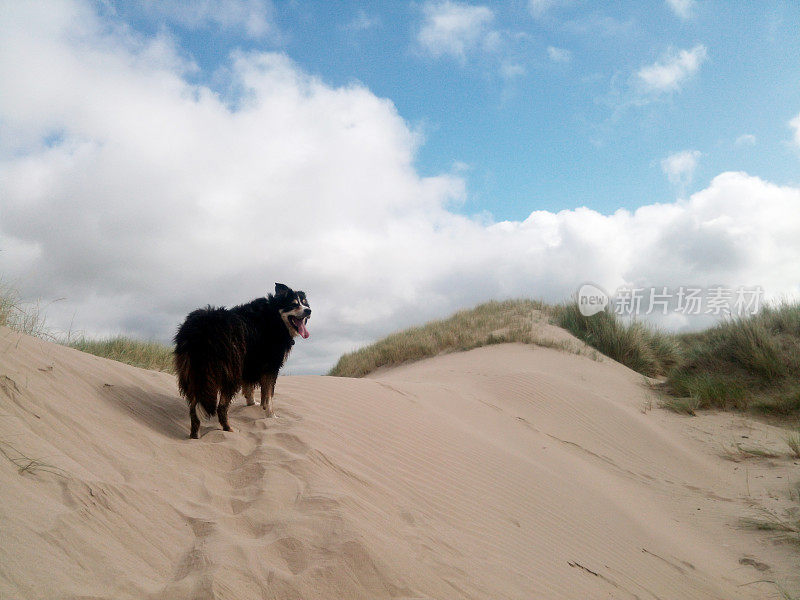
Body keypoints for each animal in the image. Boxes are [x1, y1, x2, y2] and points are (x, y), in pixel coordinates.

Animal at [173, 284, 310, 438]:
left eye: (305, 303)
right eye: (293, 304)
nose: (309, 311)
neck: (275, 316)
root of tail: (202, 329)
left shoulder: (249, 364)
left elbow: (251, 390)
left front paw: (253, 404)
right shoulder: (271, 366)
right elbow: (269, 396)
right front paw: (272, 417)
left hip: (193, 374)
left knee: (194, 408)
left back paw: (194, 437)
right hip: (230, 373)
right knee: (221, 407)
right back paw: (229, 430)